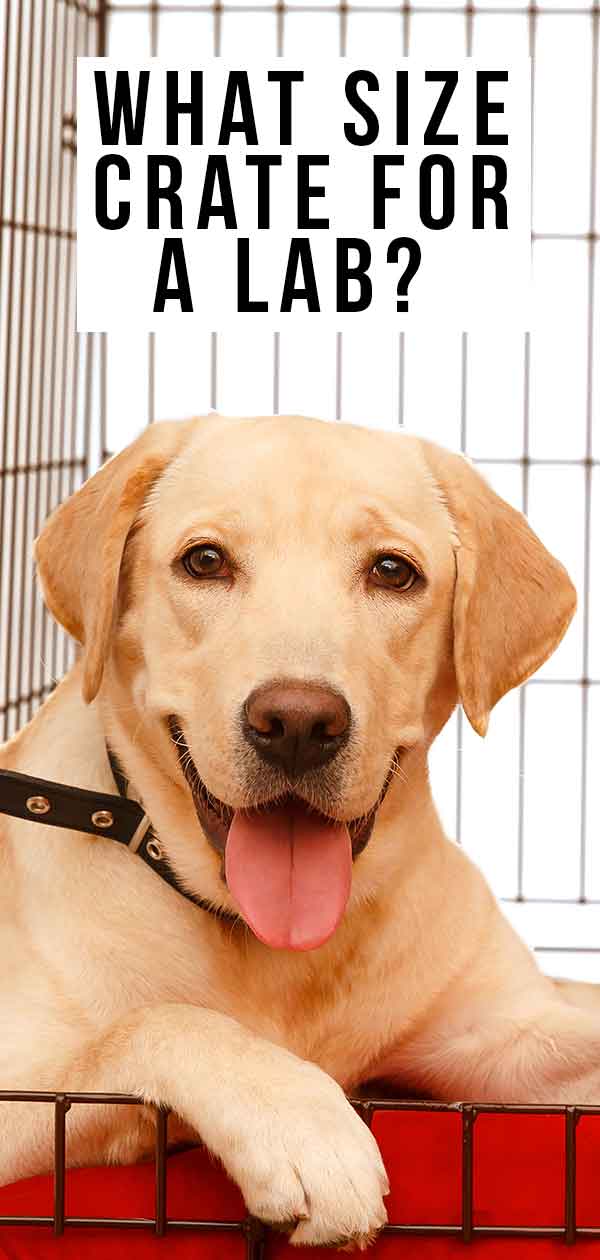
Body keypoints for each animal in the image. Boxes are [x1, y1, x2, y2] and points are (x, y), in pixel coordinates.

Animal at [0, 415, 592, 1249]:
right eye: (205, 561)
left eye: (393, 572)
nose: (298, 724)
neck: (280, 957)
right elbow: (157, 1022)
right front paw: (303, 1126)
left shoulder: (508, 1033)